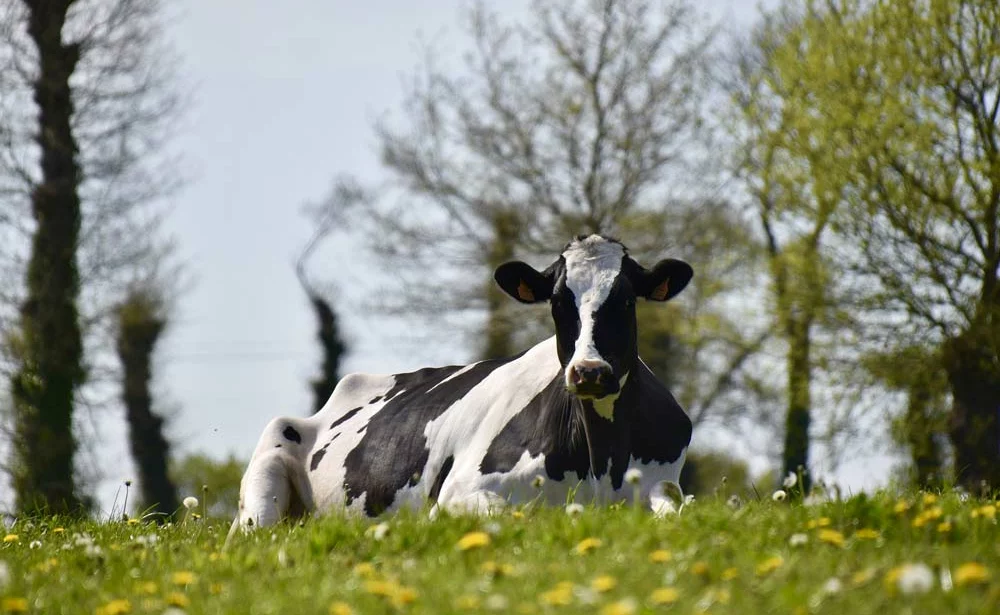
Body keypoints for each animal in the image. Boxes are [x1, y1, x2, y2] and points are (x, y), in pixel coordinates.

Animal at [230, 235, 692, 536]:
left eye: (626, 300)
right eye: (559, 303)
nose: (589, 371)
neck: (601, 460)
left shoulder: (664, 482)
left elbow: (676, 507)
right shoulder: (459, 493)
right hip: (264, 479)